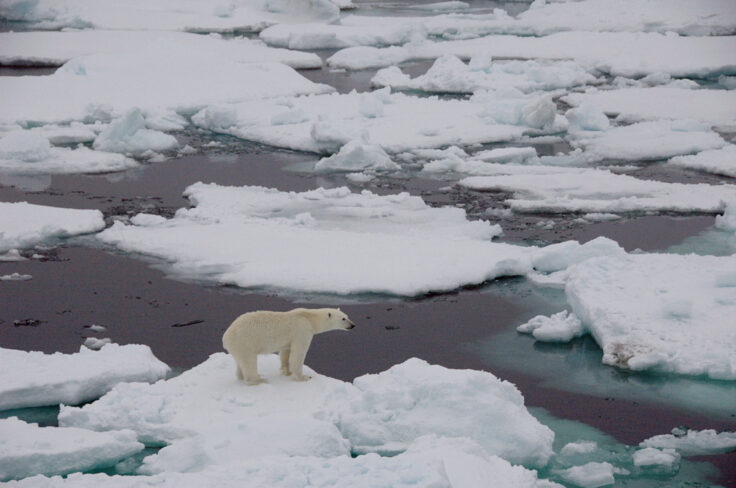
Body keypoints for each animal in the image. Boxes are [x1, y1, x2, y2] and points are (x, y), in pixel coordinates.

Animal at [222, 308, 355, 385]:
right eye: (343, 318)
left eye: (347, 316)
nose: (353, 325)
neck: (310, 318)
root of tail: (226, 337)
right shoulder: (302, 330)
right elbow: (298, 354)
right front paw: (304, 377)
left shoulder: (289, 339)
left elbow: (286, 352)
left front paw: (286, 371)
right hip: (245, 341)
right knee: (249, 361)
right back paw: (259, 379)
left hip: (239, 346)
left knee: (240, 361)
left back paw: (241, 376)